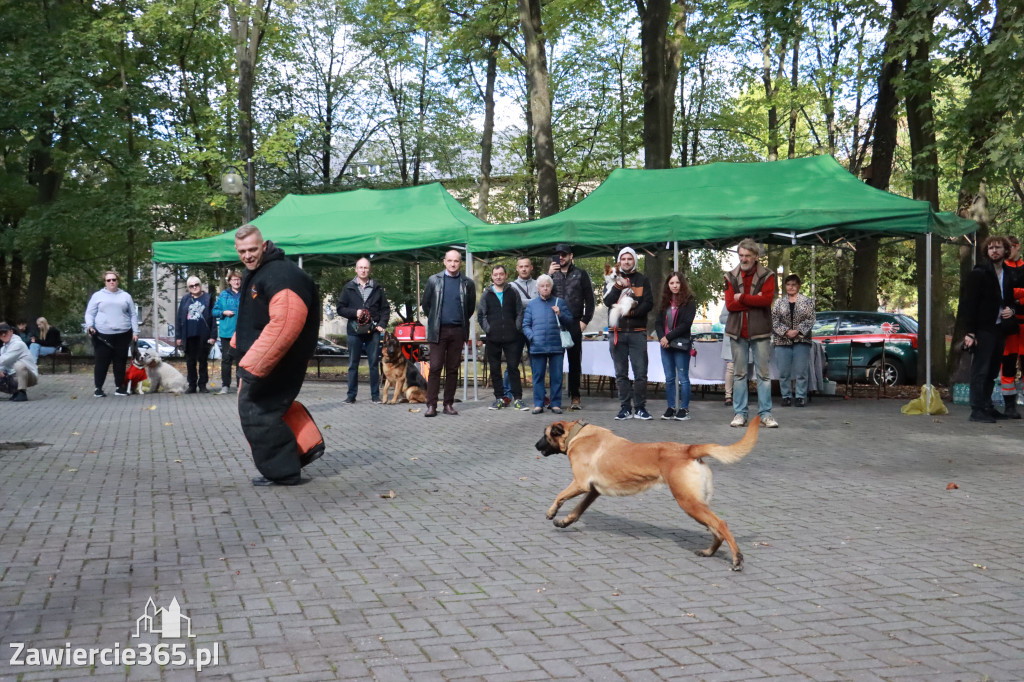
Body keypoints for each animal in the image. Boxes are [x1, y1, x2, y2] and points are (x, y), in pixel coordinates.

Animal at [536, 419, 761, 569]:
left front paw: (551, 512)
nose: (535, 446)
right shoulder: (592, 491)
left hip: (688, 503)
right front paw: (564, 521)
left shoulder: (581, 484)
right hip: (697, 504)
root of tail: (688, 449)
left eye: (544, 435)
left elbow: (560, 496)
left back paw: (737, 558)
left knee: (721, 524)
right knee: (717, 529)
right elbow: (577, 510)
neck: (577, 433)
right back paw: (708, 552)